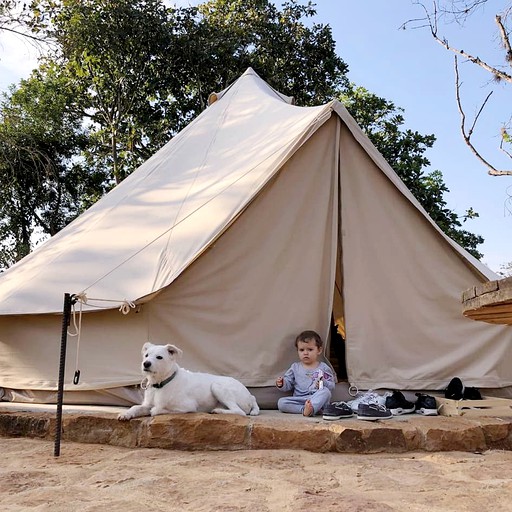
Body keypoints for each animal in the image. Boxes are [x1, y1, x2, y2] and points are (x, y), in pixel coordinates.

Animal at [117, 344, 258, 420]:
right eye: (146, 355)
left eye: (159, 357)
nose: (146, 364)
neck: (161, 384)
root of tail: (250, 396)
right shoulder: (147, 404)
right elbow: (136, 407)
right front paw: (126, 414)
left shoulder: (188, 406)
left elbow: (158, 409)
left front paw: (156, 410)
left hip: (217, 386)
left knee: (240, 412)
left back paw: (218, 411)